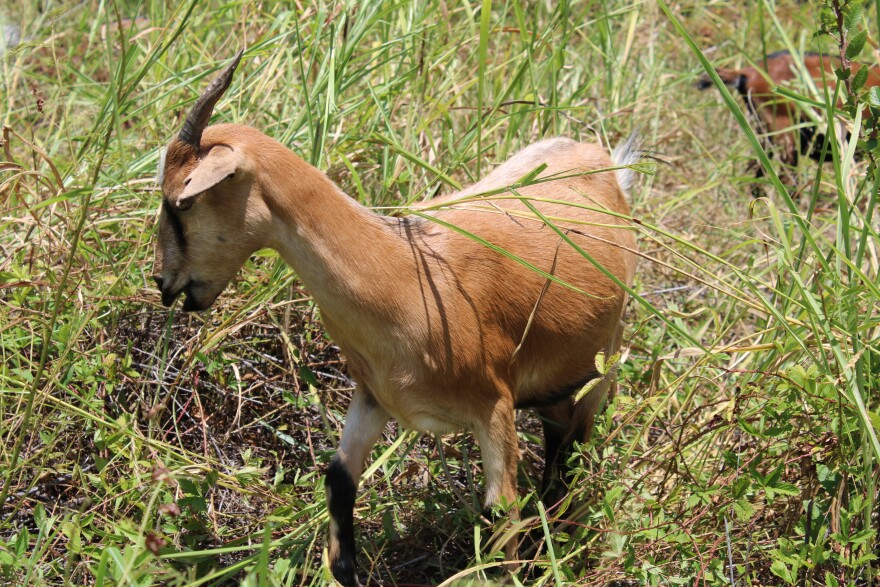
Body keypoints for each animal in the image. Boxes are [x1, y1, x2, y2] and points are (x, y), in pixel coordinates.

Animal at [152, 51, 639, 586]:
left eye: (182, 201)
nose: (162, 281)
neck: (405, 271)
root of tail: (603, 162)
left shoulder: (495, 406)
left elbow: (501, 510)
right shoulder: (374, 396)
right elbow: (339, 479)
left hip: (603, 364)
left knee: (574, 447)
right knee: (560, 439)